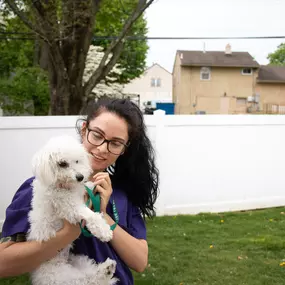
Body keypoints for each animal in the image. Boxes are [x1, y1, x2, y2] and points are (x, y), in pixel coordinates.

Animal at [27, 135, 117, 284]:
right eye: (62, 164)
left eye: (77, 161)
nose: (80, 177)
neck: (63, 186)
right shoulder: (68, 207)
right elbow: (91, 215)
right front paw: (103, 231)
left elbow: (87, 188)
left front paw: (92, 184)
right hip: (65, 277)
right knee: (89, 280)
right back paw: (106, 270)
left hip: (80, 262)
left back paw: (107, 268)